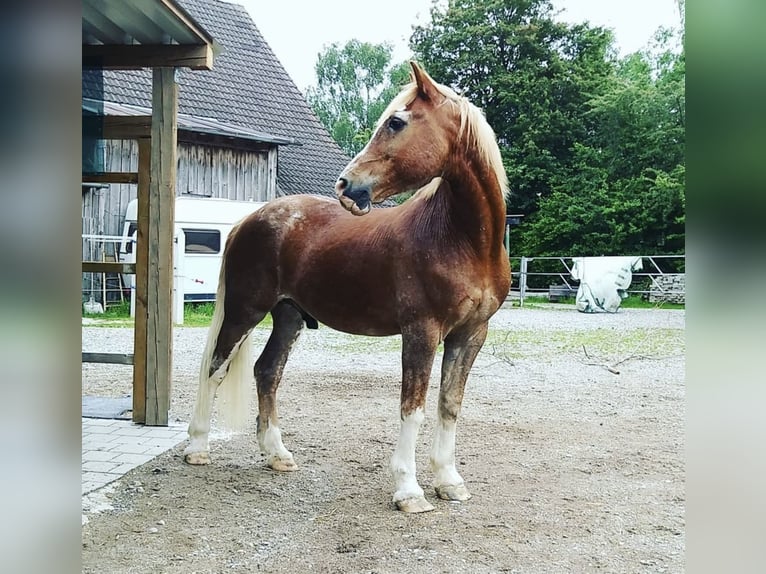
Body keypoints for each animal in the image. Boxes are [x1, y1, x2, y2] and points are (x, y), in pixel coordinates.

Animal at [183, 62, 512, 512]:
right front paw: (409, 491)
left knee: (267, 371)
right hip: (243, 311)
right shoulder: (421, 332)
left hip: (289, 316)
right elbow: (413, 407)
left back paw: (277, 455)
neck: (462, 240)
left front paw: (449, 481)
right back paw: (197, 448)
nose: (345, 186)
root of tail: (247, 220)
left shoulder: (471, 334)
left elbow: (449, 405)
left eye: (396, 122)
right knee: (215, 368)